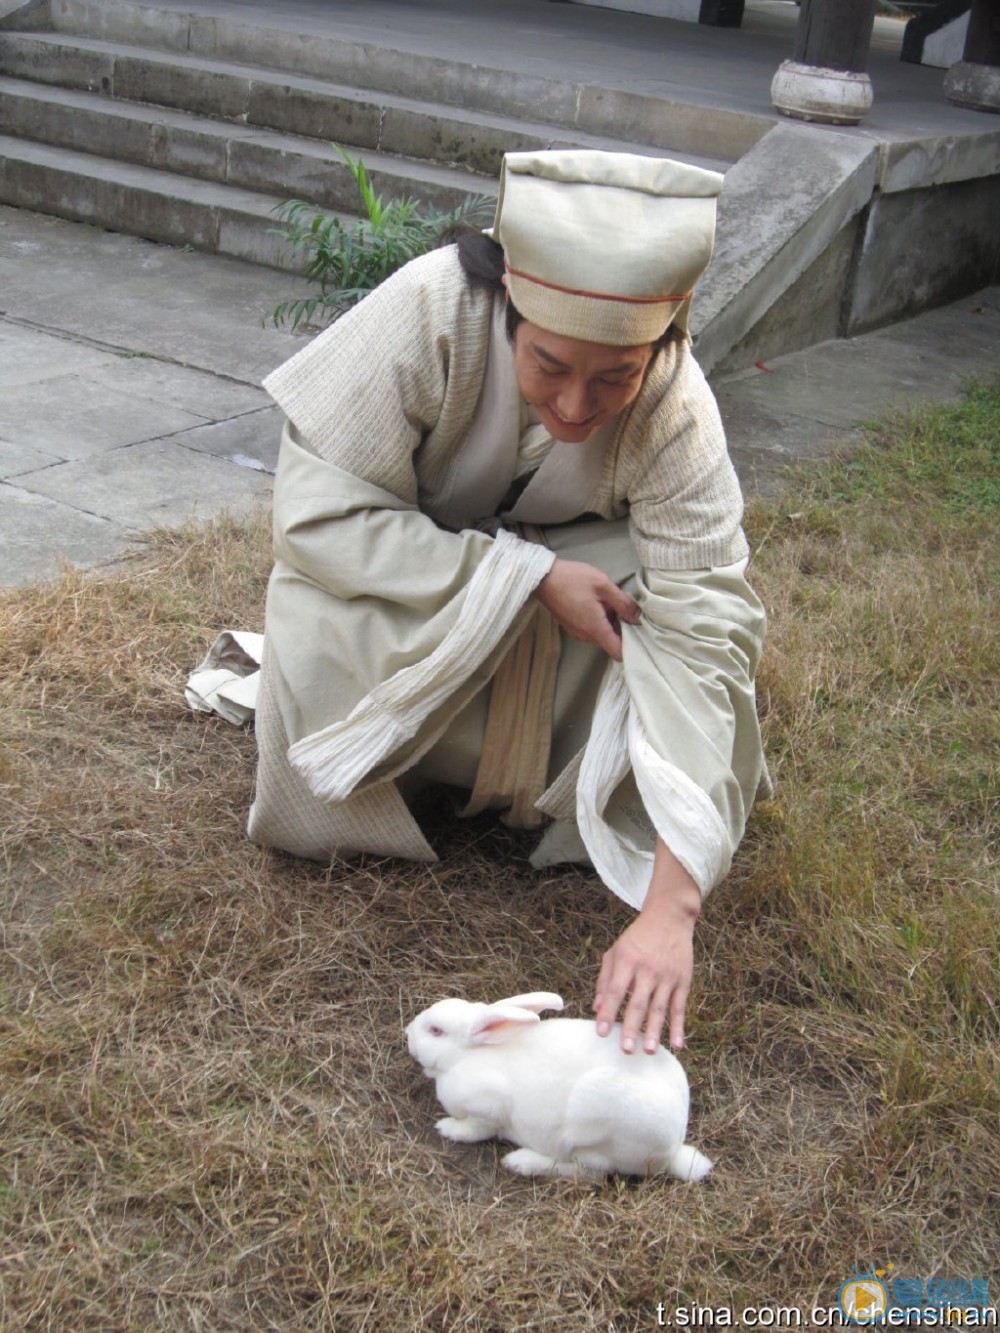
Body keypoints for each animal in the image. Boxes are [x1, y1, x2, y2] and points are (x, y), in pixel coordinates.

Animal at [402, 991, 714, 1178]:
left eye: (436, 1031)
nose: (407, 1032)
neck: (465, 1056)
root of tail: (672, 1150)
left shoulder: (488, 1108)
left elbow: (475, 1129)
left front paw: (447, 1129)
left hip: (591, 1130)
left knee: (588, 1173)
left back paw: (521, 1162)